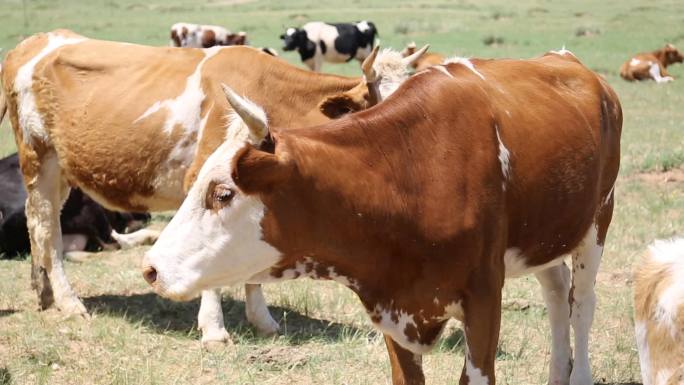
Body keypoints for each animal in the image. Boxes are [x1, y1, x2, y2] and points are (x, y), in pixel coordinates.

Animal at [144, 48, 624, 384]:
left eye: (223, 193)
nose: (150, 268)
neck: (409, 174)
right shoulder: (392, 305)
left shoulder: (485, 297)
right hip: (547, 235)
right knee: (557, 291)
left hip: (597, 224)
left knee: (581, 304)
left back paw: (578, 374)